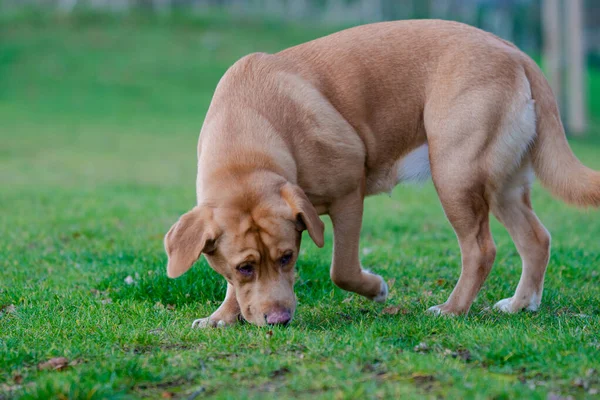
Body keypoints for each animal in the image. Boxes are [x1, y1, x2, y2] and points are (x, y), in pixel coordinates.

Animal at [164, 18, 600, 326]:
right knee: (536, 240)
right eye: (245, 267)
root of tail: (513, 50)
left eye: (289, 257)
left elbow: (341, 269)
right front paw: (223, 316)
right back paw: (521, 303)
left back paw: (453, 309)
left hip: (455, 175)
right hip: (503, 185)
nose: (279, 320)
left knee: (480, 249)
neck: (248, 132)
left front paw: (375, 290)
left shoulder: (348, 196)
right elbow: (232, 285)